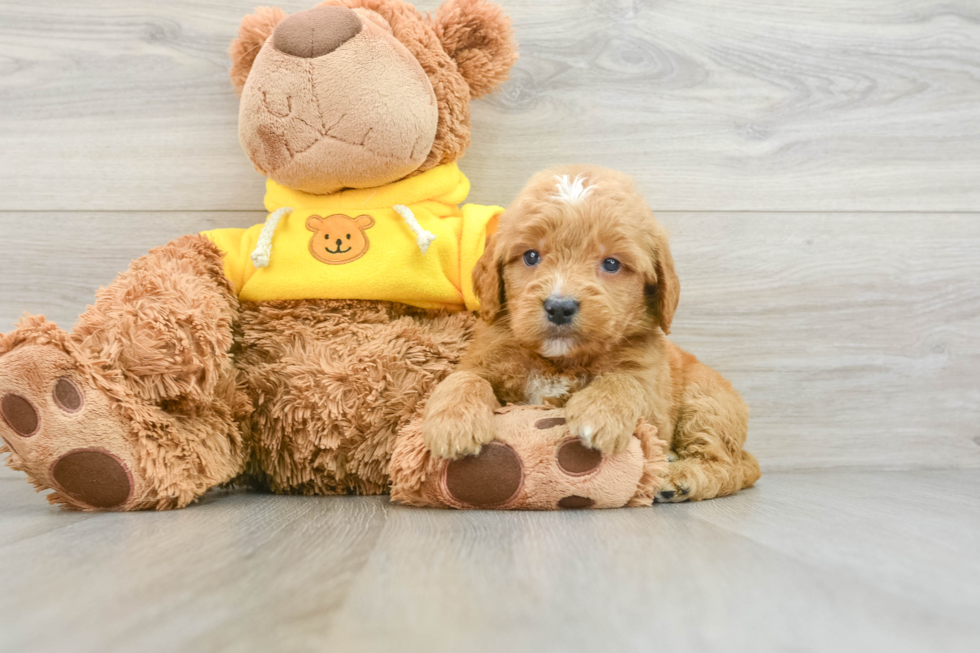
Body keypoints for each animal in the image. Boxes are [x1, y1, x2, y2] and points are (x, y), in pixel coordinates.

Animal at [422, 166, 756, 502]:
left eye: (611, 263)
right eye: (531, 256)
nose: (559, 307)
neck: (560, 361)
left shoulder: (653, 397)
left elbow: (625, 381)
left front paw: (600, 413)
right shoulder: (485, 357)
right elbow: (465, 378)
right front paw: (453, 422)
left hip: (706, 402)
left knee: (732, 465)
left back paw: (678, 478)